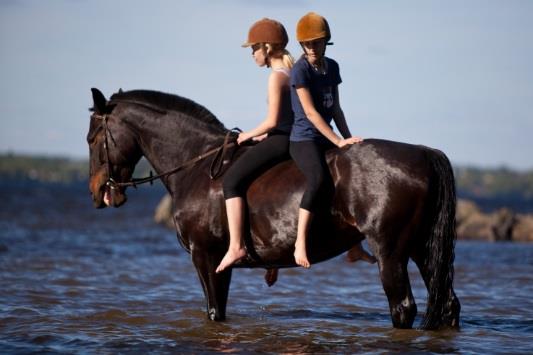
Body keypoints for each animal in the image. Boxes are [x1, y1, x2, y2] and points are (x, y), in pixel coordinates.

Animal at [86, 88, 458, 330]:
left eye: (92, 138)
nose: (97, 191)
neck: (197, 165)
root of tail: (424, 153)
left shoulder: (205, 256)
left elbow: (213, 312)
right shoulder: (219, 262)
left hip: (391, 252)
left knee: (403, 308)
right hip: (422, 249)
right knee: (448, 304)